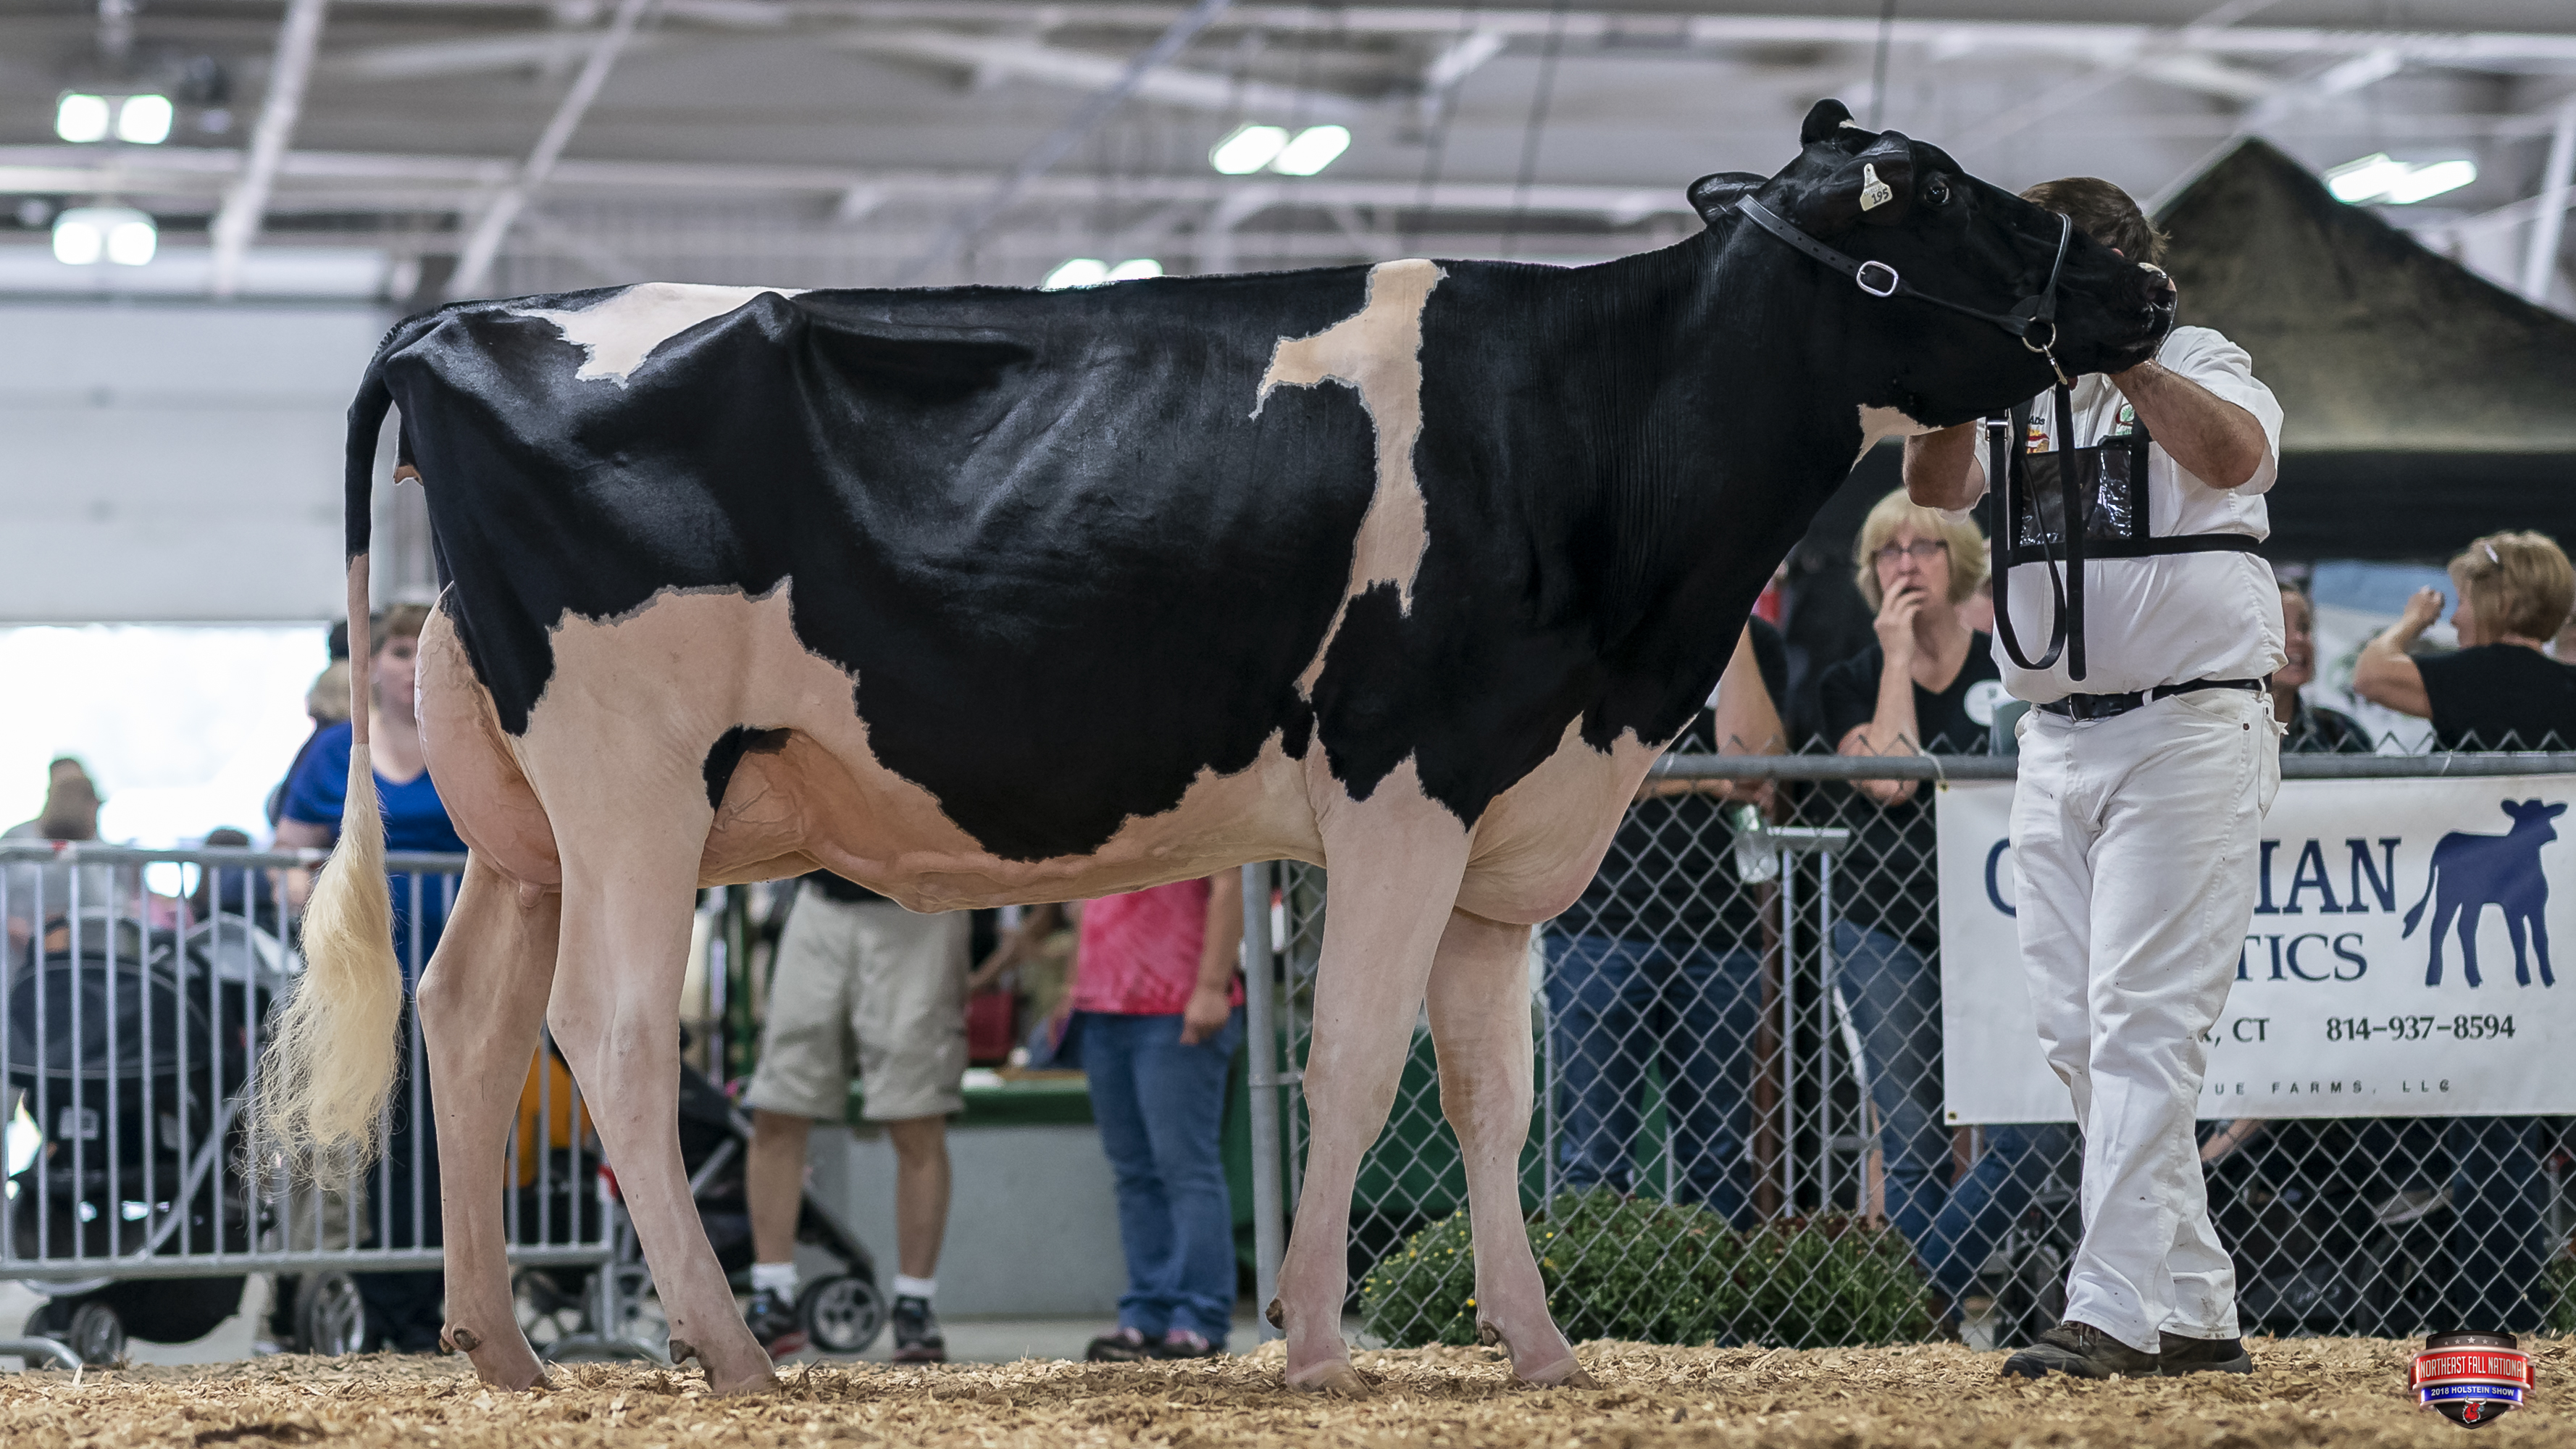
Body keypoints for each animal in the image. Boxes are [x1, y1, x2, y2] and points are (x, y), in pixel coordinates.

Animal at [261, 98, 2173, 1397]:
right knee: (605, 1035)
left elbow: (1494, 1094)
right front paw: (1321, 1337)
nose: (2143, 278)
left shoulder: (1507, 822)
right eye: (1938, 193)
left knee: (469, 1016)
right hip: (632, 783)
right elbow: (1354, 1060)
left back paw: (501, 1348)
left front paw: (1537, 1342)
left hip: (519, 817)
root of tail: (459, 319)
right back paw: (730, 1351)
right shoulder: (1403, 779)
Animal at [2404, 798, 2566, 988]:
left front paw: (2548, 978)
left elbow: (2541, 939)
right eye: (2527, 818)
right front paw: (2524, 978)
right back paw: (2435, 977)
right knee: (2439, 928)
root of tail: (2449, 838)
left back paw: (2472, 978)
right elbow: (2519, 938)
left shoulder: (2537, 907)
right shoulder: (2511, 908)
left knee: (2464, 927)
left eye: (2547, 816)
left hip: (2470, 899)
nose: (2553, 834)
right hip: (2448, 895)